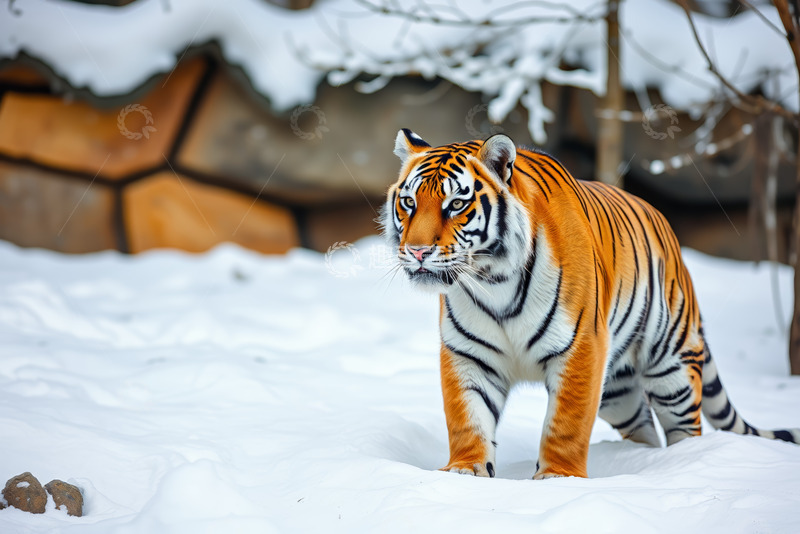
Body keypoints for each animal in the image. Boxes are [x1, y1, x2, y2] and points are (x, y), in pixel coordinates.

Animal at [382, 128, 800, 479]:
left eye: (455, 204)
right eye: (408, 202)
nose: (416, 251)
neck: (493, 281)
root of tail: (666, 229)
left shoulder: (580, 348)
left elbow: (565, 424)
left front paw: (558, 478)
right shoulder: (468, 354)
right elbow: (467, 418)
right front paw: (464, 472)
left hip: (672, 368)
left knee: (686, 427)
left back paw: (677, 467)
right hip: (617, 389)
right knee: (643, 430)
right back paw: (633, 462)